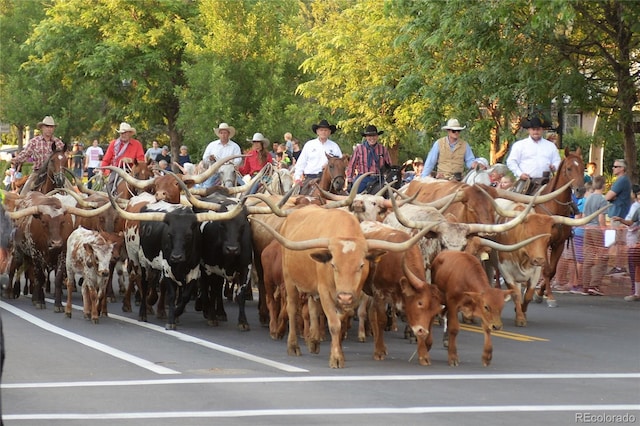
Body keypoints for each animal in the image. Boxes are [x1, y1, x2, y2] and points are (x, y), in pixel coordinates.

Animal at [528, 147, 584, 306]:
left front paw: (541, 293)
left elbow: (552, 270)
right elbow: (546, 269)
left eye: (583, 167)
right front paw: (549, 297)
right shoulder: (543, 243)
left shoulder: (559, 244)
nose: (581, 190)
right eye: (569, 168)